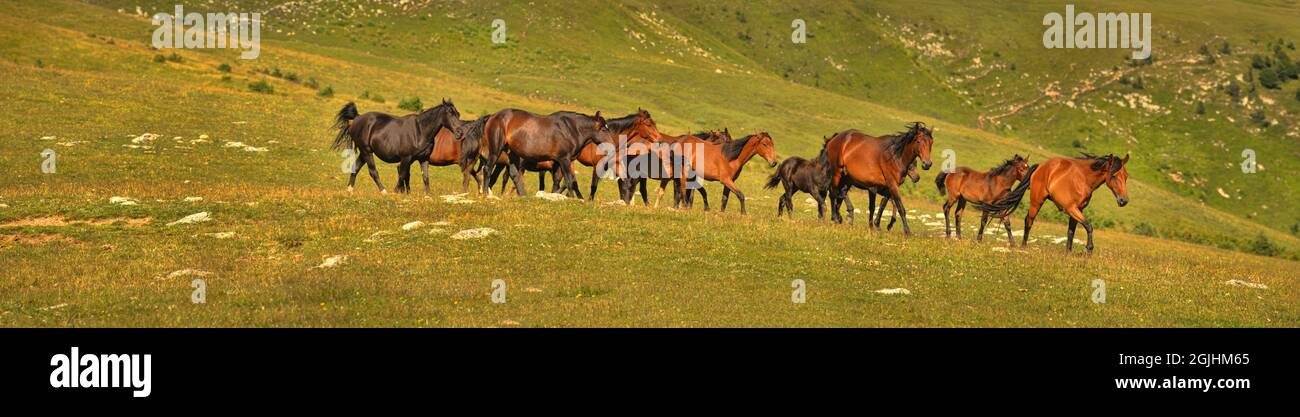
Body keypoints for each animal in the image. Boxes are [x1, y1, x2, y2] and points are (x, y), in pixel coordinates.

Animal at [331, 99, 464, 194]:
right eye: (449, 113)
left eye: (458, 114)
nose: (460, 133)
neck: (420, 131)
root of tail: (357, 119)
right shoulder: (406, 158)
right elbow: (403, 173)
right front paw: (396, 191)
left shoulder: (423, 159)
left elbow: (425, 177)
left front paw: (428, 195)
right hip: (367, 151)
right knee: (373, 171)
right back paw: (384, 191)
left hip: (364, 153)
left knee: (356, 167)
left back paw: (350, 190)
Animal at [480, 109, 613, 197]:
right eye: (603, 129)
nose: (612, 148)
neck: (571, 129)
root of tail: (492, 116)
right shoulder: (564, 159)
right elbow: (569, 180)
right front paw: (571, 198)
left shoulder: (558, 162)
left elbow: (560, 181)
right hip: (496, 150)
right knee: (487, 169)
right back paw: (486, 194)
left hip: (512, 154)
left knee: (514, 174)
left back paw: (523, 195)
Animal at [975, 153, 1130, 253]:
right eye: (1114, 176)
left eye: (1126, 176)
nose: (1124, 200)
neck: (1083, 180)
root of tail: (1040, 167)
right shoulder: (1072, 208)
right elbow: (1088, 226)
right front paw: (1089, 250)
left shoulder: (1078, 210)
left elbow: (1071, 231)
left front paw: (1068, 252)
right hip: (1037, 201)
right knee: (1028, 220)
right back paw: (1023, 246)